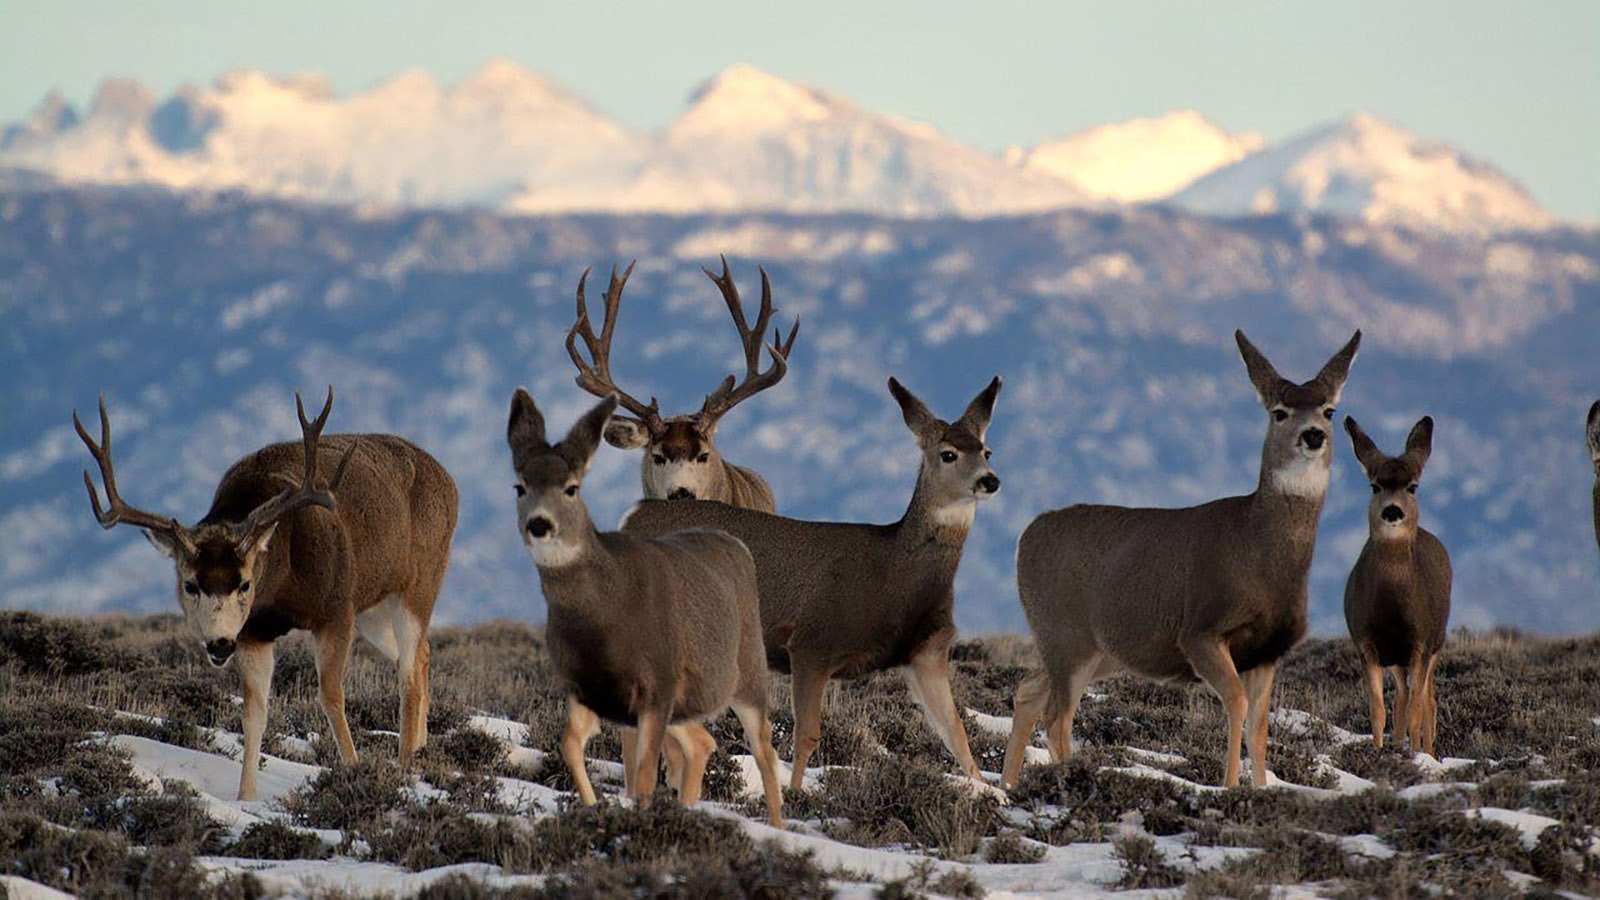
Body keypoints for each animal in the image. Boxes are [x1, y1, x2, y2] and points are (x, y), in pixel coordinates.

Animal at [72, 389, 458, 801]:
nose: (219, 644)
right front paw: (246, 798)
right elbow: (253, 711)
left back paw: (406, 765)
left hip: (419, 583)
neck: (281, 580)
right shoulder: (254, 631)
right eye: (189, 584)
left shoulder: (337, 608)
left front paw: (354, 769)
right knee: (421, 654)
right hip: (373, 609)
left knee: (408, 673)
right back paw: (421, 751)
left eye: (244, 583)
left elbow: (331, 696)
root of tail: (449, 480)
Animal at [506, 388, 784, 826]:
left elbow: (650, 767)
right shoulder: (590, 687)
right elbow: (575, 745)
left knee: (761, 746)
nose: (540, 524)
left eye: (572, 488)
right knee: (694, 744)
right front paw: (598, 811)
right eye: (519, 487)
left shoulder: (655, 688)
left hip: (745, 675)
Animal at [622, 376, 1003, 792]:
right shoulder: (812, 641)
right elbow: (806, 734)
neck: (893, 572)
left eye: (986, 450)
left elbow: (955, 732)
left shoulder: (927, 651)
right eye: (948, 454)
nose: (990, 480)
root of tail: (635, 514)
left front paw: (992, 791)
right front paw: (795, 793)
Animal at [1002, 330, 1360, 790]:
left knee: (1029, 692)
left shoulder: (1268, 649)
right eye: (1279, 412)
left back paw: (1005, 787)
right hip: (1066, 633)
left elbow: (1260, 725)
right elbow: (1237, 703)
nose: (1313, 435)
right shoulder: (1200, 630)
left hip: (1096, 649)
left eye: (1329, 409)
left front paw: (1262, 790)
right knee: (1058, 717)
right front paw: (1230, 786)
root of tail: (1026, 536)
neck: (1259, 553)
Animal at [1342, 415, 1451, 756]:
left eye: (1412, 486)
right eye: (1375, 485)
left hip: (1437, 642)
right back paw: (1398, 742)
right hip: (1397, 660)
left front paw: (1417, 754)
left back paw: (1427, 751)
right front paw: (1378, 751)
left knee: (1427, 700)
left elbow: (1417, 709)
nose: (1392, 510)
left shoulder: (1419, 644)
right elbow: (1378, 709)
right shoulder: (1367, 644)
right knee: (1402, 696)